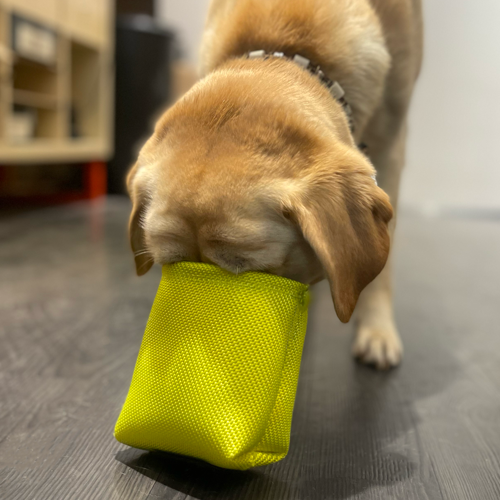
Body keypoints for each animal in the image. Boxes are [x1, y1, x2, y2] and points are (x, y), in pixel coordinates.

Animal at [128, 0, 422, 368]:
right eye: (174, 267)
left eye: (252, 272)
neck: (288, 42)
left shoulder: (391, 145)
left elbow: (383, 268)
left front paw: (377, 330)